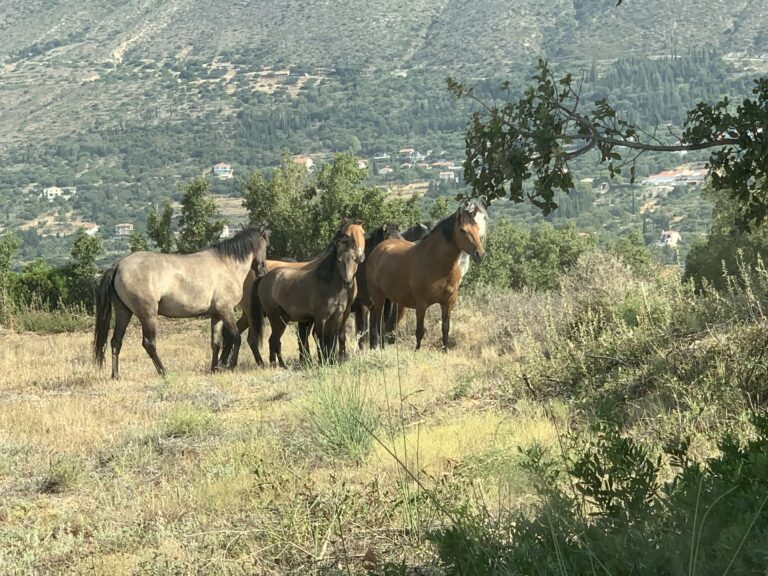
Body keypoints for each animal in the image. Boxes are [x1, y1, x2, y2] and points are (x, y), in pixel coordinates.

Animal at [93, 227, 270, 380]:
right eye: (265, 245)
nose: (263, 271)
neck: (227, 265)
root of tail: (118, 265)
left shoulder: (216, 315)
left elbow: (216, 343)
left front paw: (214, 369)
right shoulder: (226, 310)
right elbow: (236, 338)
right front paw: (231, 365)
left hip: (123, 312)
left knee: (116, 342)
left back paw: (115, 376)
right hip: (148, 314)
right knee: (149, 343)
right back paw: (164, 372)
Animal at [250, 235, 362, 366]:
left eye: (355, 259)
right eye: (339, 260)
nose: (347, 282)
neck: (328, 284)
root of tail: (263, 278)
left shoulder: (337, 317)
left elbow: (332, 340)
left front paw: (331, 361)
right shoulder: (320, 318)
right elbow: (321, 339)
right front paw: (322, 362)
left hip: (283, 319)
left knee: (274, 340)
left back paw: (280, 365)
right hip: (276, 318)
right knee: (274, 340)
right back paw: (278, 365)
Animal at [352, 224, 404, 352]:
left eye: (402, 238)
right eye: (389, 240)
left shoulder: (375, 306)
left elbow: (375, 329)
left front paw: (375, 348)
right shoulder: (362, 306)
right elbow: (363, 332)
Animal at [368, 207, 486, 352]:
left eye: (477, 227)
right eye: (463, 230)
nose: (480, 254)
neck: (436, 263)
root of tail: (379, 248)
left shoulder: (448, 302)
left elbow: (445, 328)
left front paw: (445, 350)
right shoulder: (421, 304)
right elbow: (420, 331)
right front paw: (417, 351)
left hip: (393, 300)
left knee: (387, 324)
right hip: (378, 297)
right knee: (378, 322)